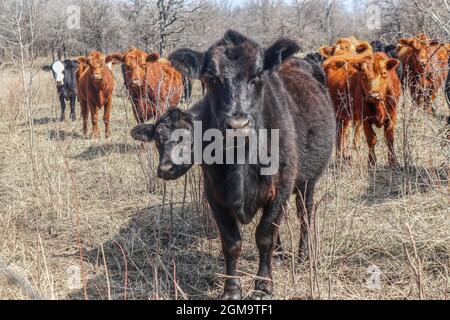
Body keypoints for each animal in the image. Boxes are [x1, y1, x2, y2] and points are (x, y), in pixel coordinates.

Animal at [130, 30, 334, 300]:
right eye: (211, 78)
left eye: (257, 75)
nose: (237, 124)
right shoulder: (215, 194)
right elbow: (232, 243)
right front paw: (231, 289)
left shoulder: (280, 189)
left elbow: (265, 236)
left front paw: (262, 286)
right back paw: (281, 254)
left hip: (307, 183)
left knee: (304, 217)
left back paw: (302, 255)